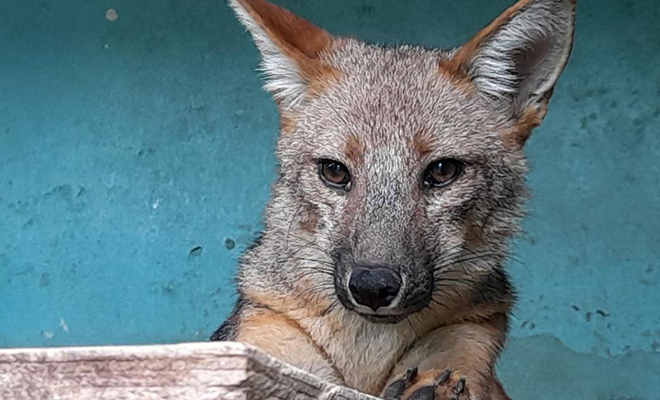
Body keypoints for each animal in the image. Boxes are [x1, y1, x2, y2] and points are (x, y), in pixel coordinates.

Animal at [211, 0, 572, 398]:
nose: (372, 286)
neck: (367, 361)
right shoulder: (265, 336)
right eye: (334, 171)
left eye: (443, 170)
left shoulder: (471, 331)